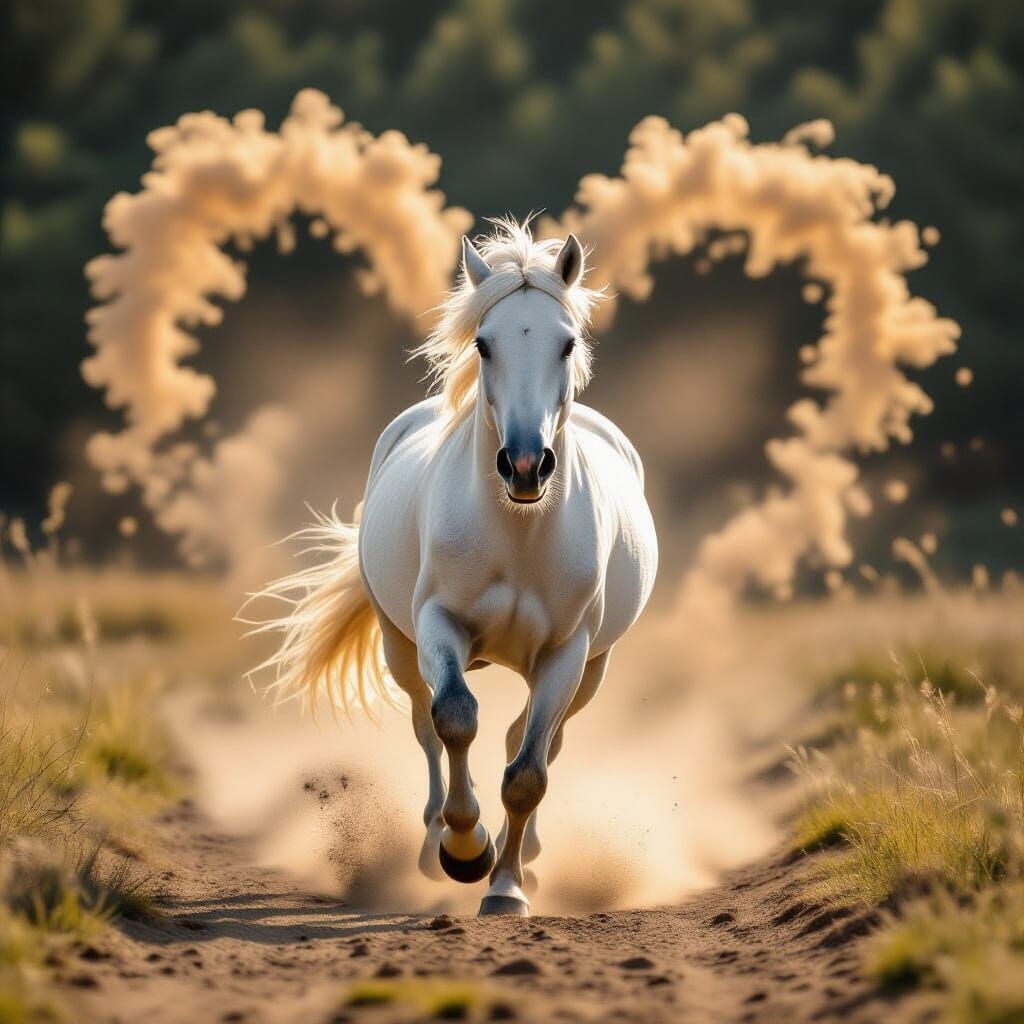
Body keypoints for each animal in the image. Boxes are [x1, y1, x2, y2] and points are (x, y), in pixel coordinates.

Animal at [255, 219, 658, 916]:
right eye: (483, 344)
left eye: (567, 343)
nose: (525, 465)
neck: (518, 534)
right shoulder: (437, 626)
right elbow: (455, 718)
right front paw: (465, 851)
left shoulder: (569, 653)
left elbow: (528, 774)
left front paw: (506, 888)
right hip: (399, 645)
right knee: (426, 727)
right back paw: (432, 842)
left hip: (592, 669)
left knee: (537, 740)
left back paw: (528, 856)